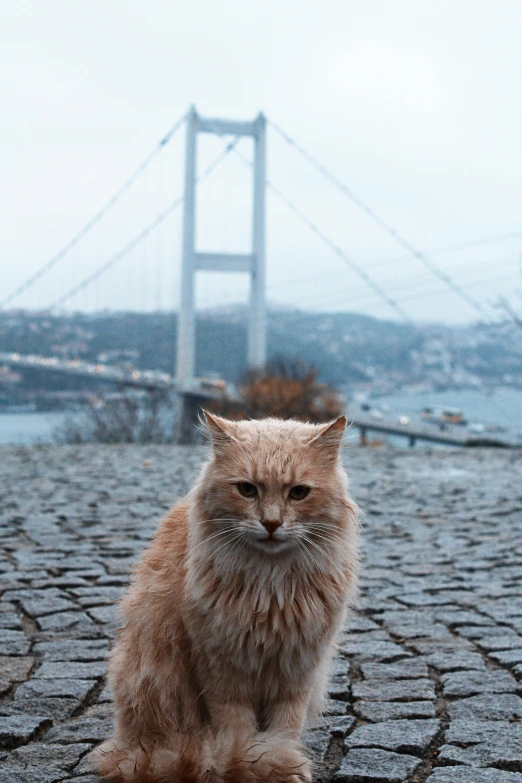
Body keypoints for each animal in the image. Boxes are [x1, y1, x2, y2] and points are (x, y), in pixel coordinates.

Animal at [94, 414, 358, 780]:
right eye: (247, 489)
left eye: (298, 493)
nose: (271, 523)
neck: (270, 585)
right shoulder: (220, 668)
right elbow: (236, 732)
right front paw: (249, 761)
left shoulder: (299, 668)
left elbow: (285, 728)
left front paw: (278, 758)